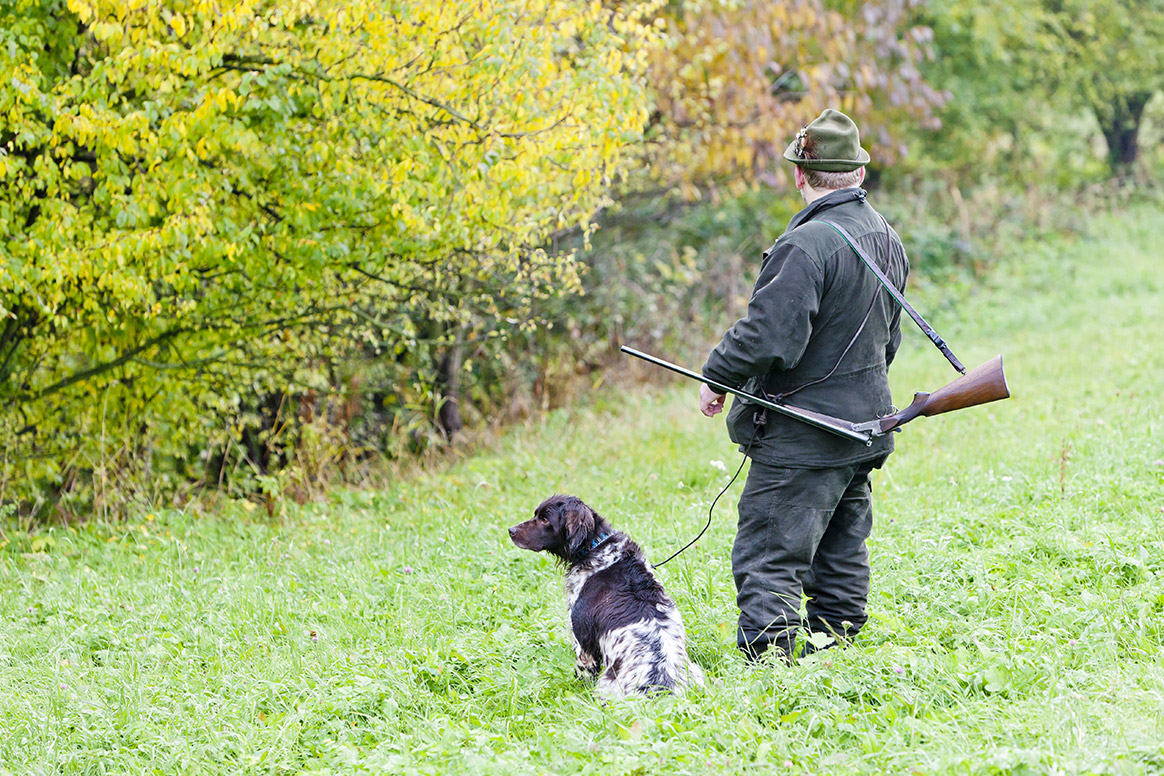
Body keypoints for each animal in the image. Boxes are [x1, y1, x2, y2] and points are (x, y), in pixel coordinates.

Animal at [507, 495, 703, 702]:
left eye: (545, 520)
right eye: (536, 514)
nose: (511, 530)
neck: (596, 548)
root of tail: (662, 691)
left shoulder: (582, 643)